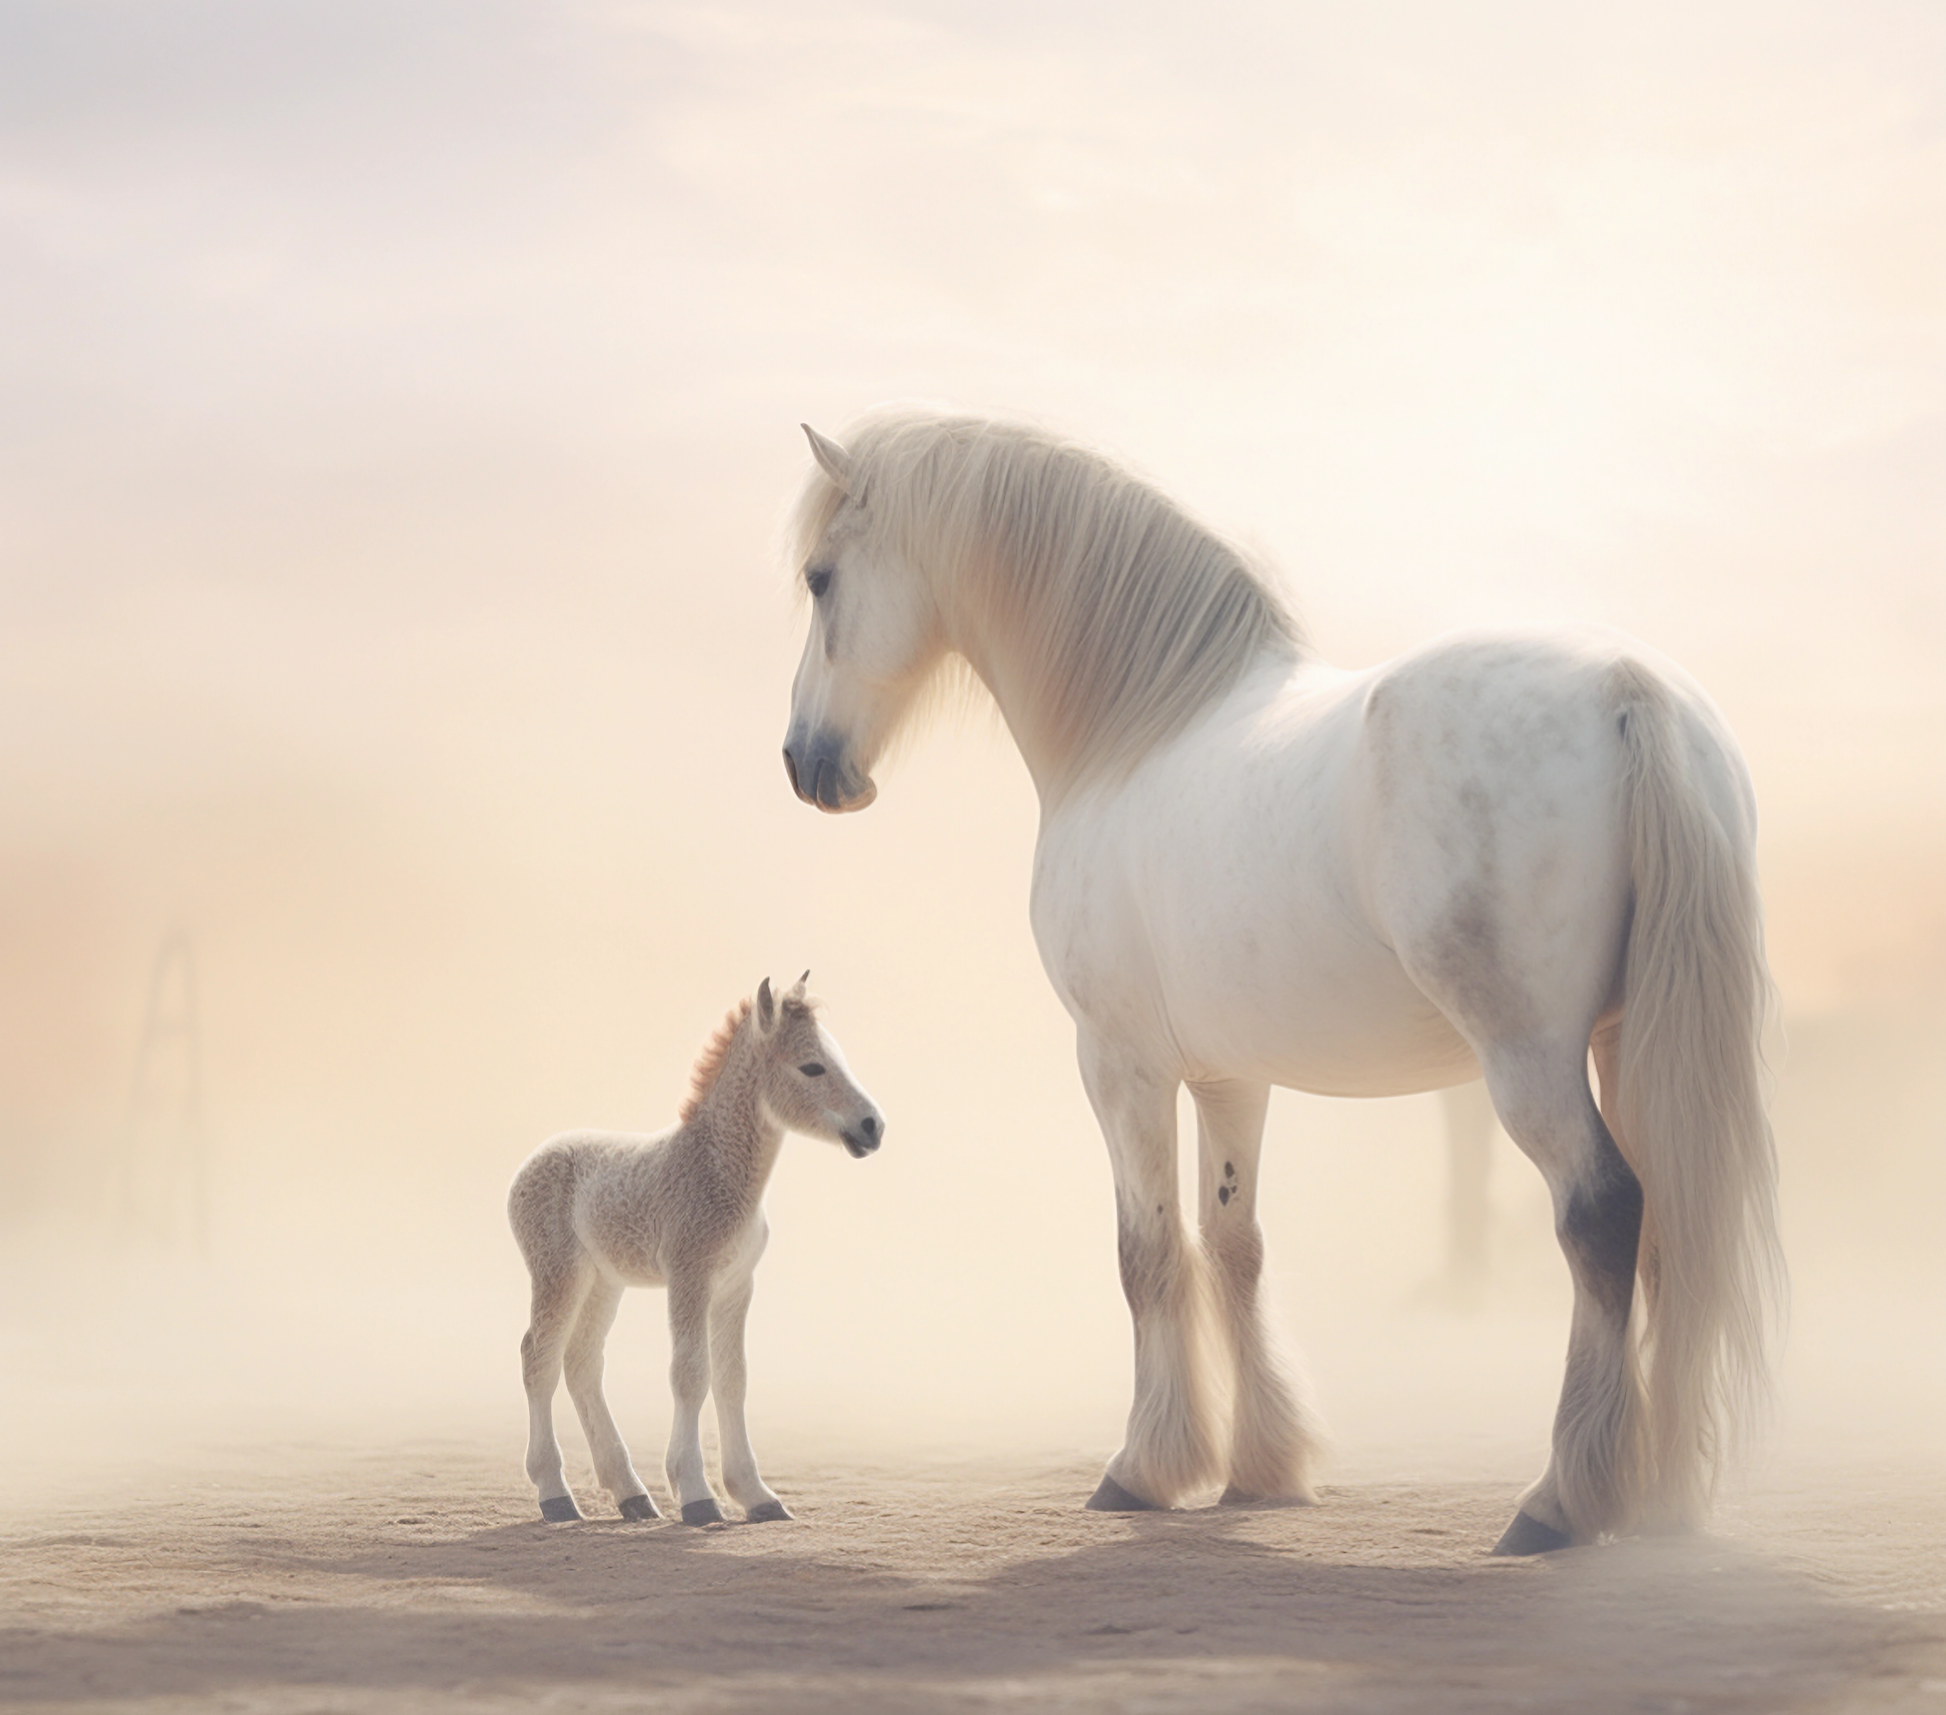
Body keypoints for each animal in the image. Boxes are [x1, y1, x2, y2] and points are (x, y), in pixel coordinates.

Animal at [508, 974, 885, 1524]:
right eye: (811, 1065)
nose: (873, 1126)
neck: (716, 1170)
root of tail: (531, 1162)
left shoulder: (736, 1286)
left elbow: (733, 1379)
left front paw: (756, 1495)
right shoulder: (690, 1277)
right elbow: (690, 1374)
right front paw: (697, 1495)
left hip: (605, 1281)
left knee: (583, 1363)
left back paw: (632, 1496)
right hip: (559, 1275)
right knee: (539, 1358)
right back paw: (556, 1496)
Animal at [778, 409, 1784, 1554]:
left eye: (820, 577)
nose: (806, 764)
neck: (1135, 735)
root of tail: (1627, 688)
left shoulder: (1117, 1064)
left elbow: (1146, 1252)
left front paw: (1143, 1468)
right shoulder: (1230, 1077)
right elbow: (1233, 1245)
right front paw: (1261, 1465)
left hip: (1530, 1058)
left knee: (1603, 1215)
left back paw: (1558, 1499)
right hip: (1629, 1043)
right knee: (1672, 1233)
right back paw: (1659, 1496)